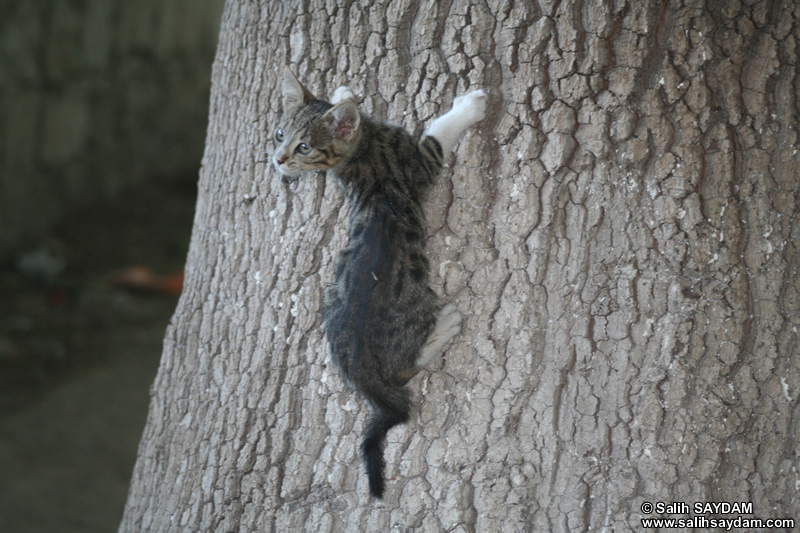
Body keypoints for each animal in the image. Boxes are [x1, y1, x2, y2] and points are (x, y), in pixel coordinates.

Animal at [276, 67, 488, 498]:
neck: (361, 150)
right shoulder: (420, 161)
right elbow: (438, 131)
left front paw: (342, 94)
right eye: (280, 135)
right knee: (408, 366)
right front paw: (468, 107)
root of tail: (364, 375)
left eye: (302, 146)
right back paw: (447, 325)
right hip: (418, 304)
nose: (279, 159)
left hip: (330, 296)